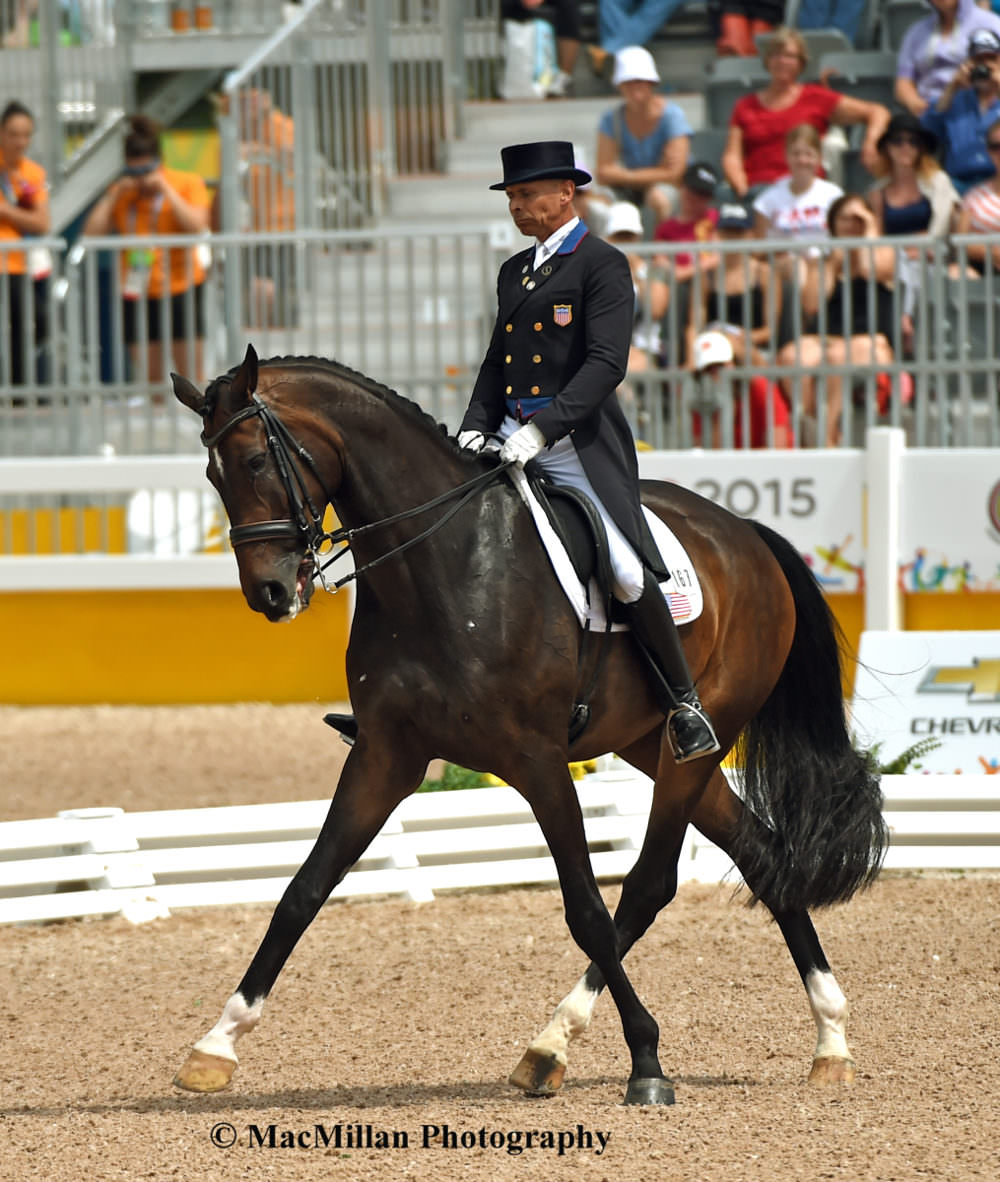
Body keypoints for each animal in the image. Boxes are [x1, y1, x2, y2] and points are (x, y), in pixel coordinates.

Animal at [170, 345, 884, 1106]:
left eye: (253, 461)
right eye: (212, 475)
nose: (270, 594)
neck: (443, 564)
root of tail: (747, 535)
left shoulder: (538, 762)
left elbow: (586, 909)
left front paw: (648, 1061)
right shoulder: (385, 754)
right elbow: (302, 892)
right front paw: (215, 1044)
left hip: (694, 741)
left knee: (650, 884)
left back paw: (568, 1045)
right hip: (650, 744)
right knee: (760, 855)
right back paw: (826, 1040)